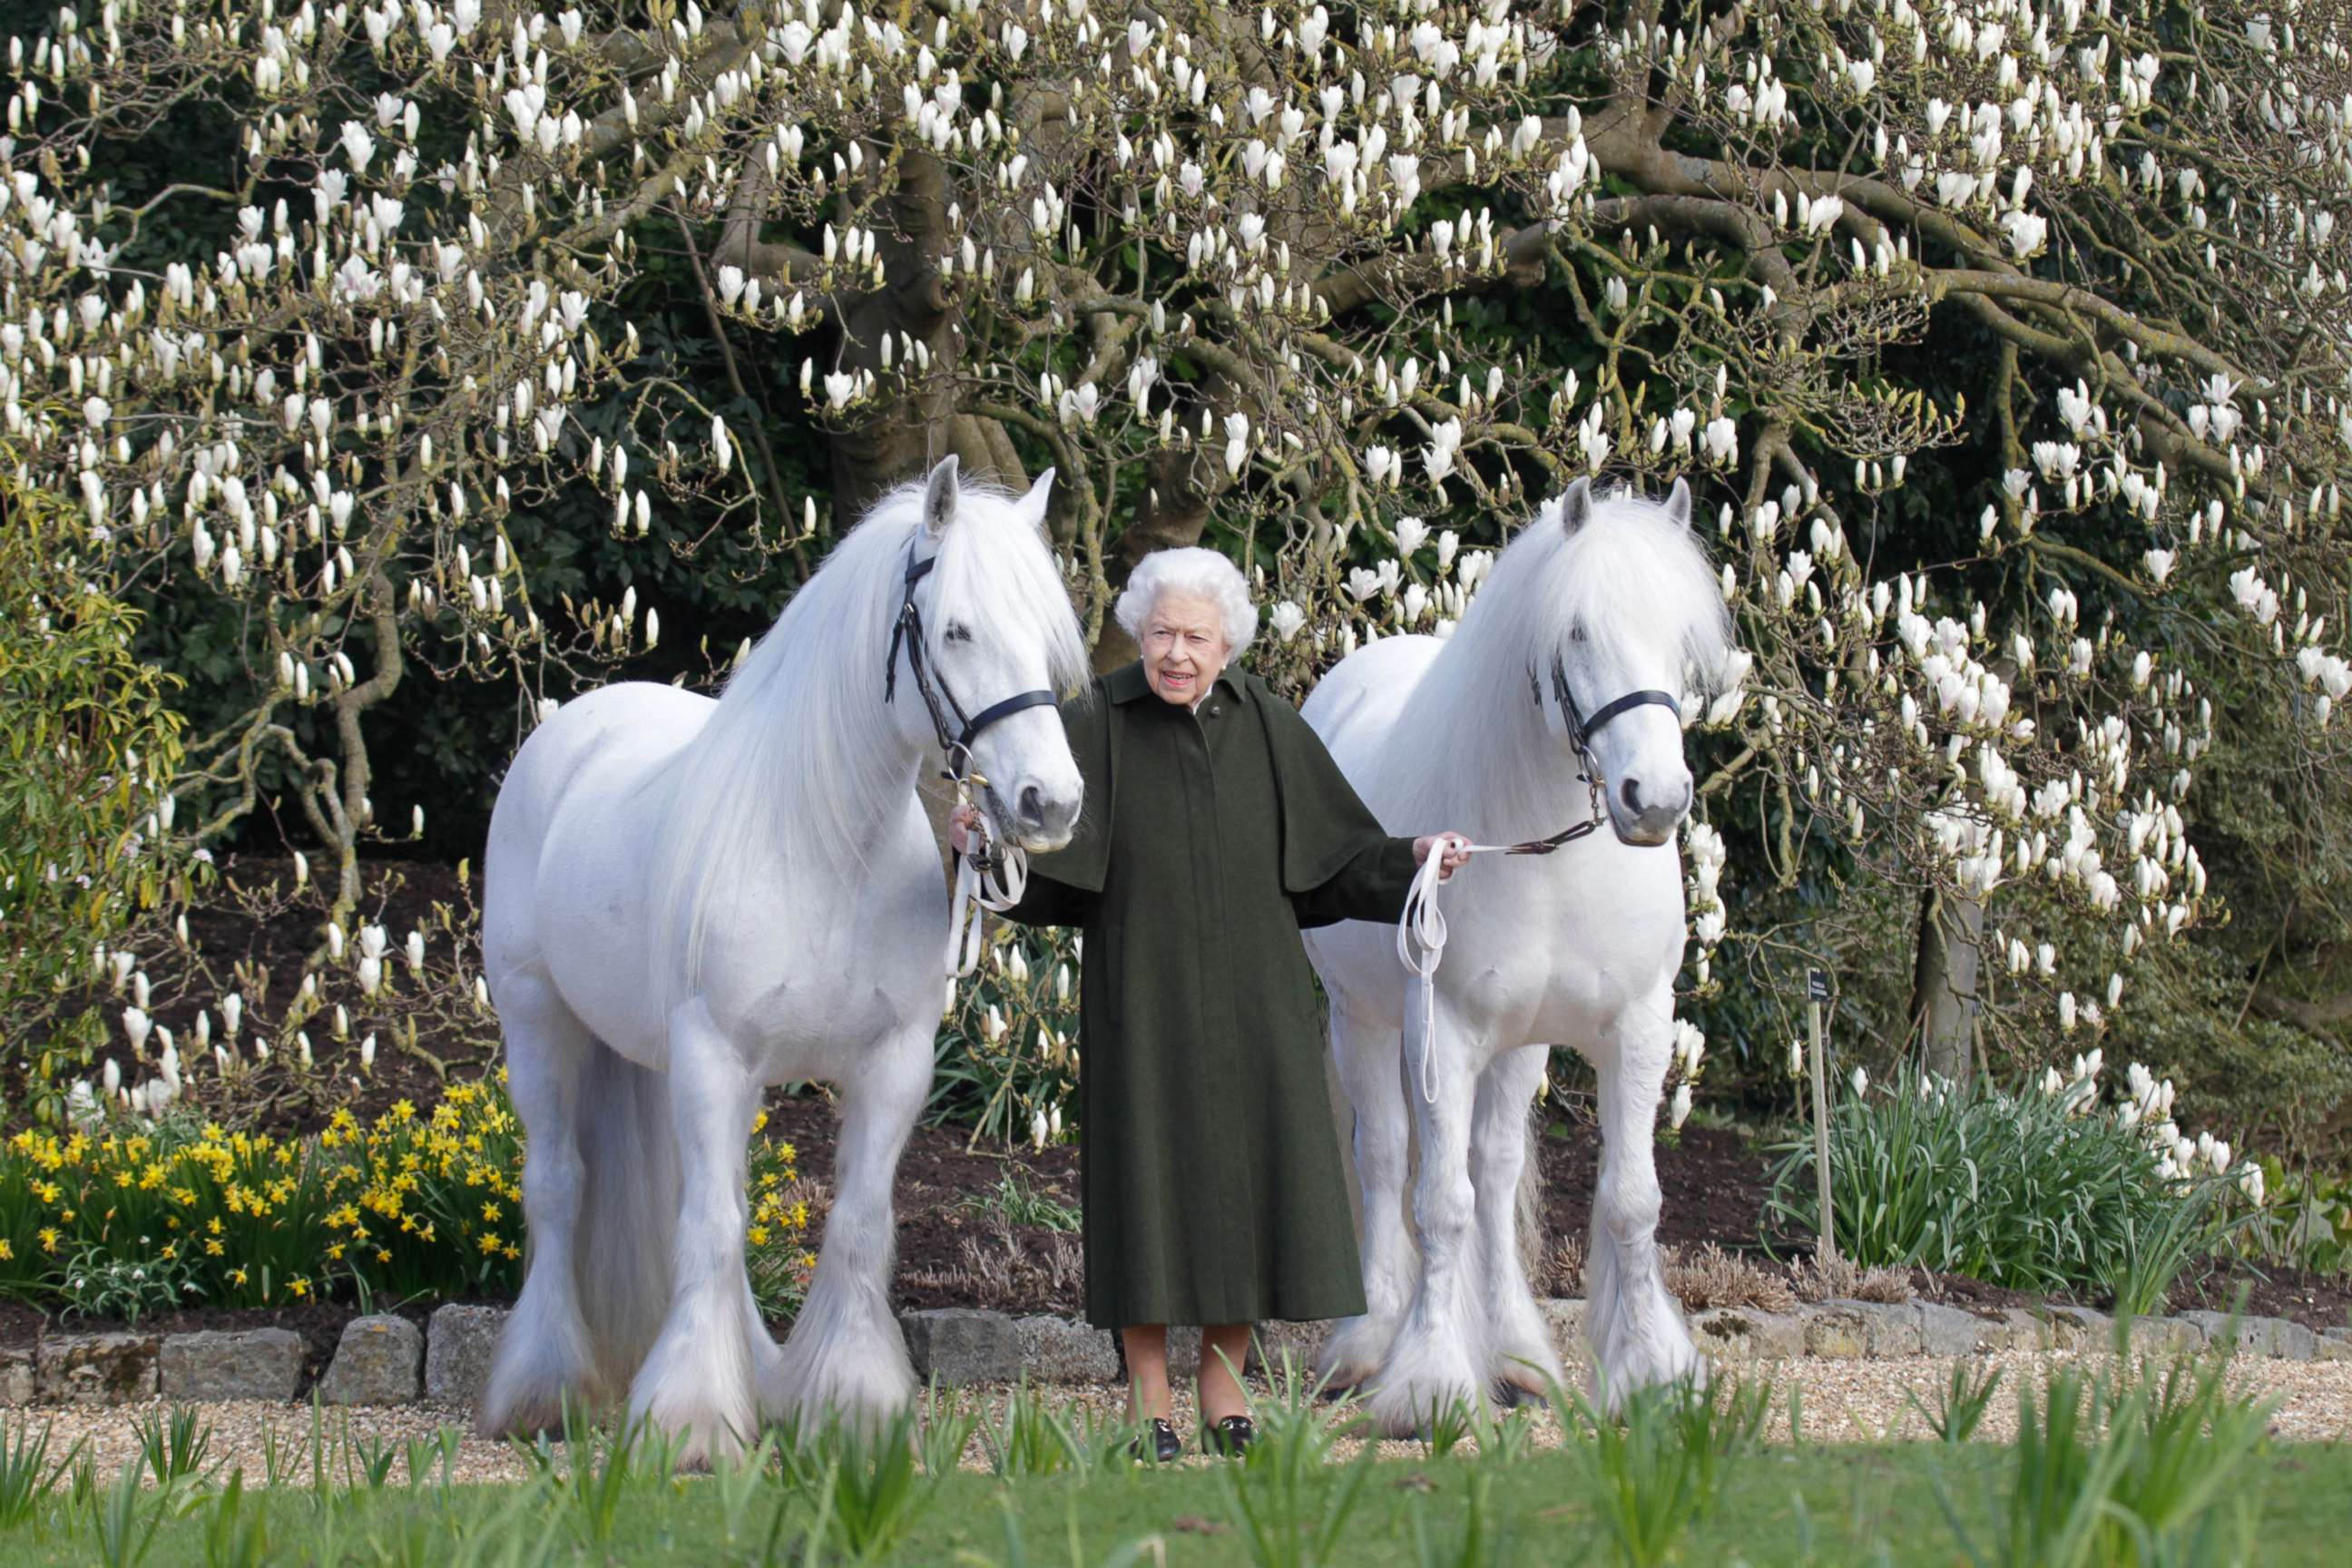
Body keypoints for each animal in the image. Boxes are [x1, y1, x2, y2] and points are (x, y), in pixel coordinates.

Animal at [470, 460, 1091, 1466]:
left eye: (1044, 637)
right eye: (958, 629)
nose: (1051, 802)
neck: (823, 846)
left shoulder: (890, 1066)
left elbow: (854, 1226)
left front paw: (851, 1406)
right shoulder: (716, 1057)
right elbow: (713, 1230)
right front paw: (688, 1423)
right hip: (540, 1024)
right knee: (559, 1189)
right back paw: (544, 1390)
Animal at [1308, 479, 1730, 1438]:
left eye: (1681, 637)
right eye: (1576, 631)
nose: (1655, 799)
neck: (1550, 854)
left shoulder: (1637, 1027)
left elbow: (1628, 1200)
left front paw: (1651, 1373)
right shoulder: (1445, 1032)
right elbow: (1438, 1203)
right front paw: (1428, 1384)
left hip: (1521, 1045)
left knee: (1495, 1172)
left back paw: (1515, 1355)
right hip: (1364, 1022)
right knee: (1386, 1159)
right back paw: (1368, 1345)